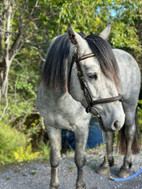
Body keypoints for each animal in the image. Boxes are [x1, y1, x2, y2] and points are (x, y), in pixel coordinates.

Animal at [36, 24, 140, 189]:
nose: (118, 119)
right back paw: (105, 164)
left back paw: (124, 167)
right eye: (92, 75)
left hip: (128, 108)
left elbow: (80, 160)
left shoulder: (81, 128)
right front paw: (54, 185)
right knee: (109, 133)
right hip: (106, 117)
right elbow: (54, 159)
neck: (59, 100)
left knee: (129, 133)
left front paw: (80, 185)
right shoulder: (51, 126)